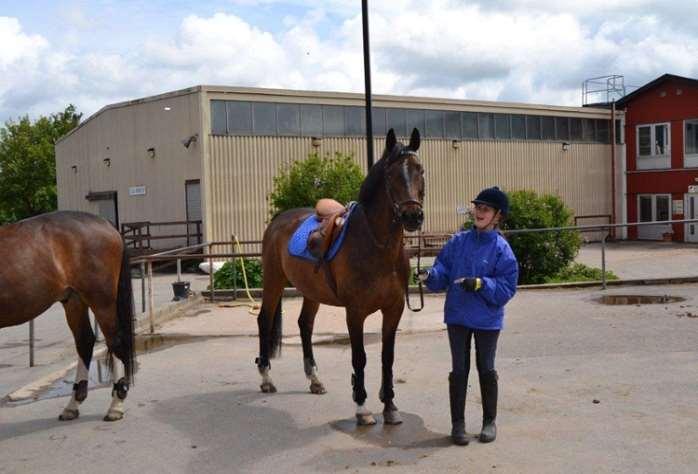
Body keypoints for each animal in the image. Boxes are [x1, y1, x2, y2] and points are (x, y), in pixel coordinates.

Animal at [0, 211, 135, 422]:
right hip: (74, 300)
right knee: (85, 341)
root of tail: (106, 224)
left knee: (115, 342)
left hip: (101, 300)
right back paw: (72, 405)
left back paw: (116, 406)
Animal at [256, 128, 424, 424]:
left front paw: (390, 406)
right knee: (264, 320)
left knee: (305, 325)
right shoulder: (355, 312)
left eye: (420, 171)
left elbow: (387, 357)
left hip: (310, 292)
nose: (412, 216)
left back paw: (314, 380)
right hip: (273, 281)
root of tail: (278, 221)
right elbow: (360, 357)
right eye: (392, 175)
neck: (377, 246)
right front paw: (362, 407)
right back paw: (266, 378)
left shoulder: (394, 309)